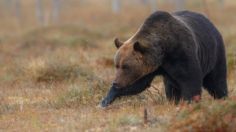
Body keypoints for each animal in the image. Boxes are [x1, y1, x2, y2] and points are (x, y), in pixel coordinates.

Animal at [100, 10, 228, 107]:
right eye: (117, 65)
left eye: (126, 66)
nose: (116, 82)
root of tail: (209, 21)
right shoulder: (150, 67)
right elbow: (138, 84)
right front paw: (105, 100)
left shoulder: (180, 53)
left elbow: (191, 79)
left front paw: (189, 101)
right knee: (170, 87)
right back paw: (173, 100)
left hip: (214, 52)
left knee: (217, 80)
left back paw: (223, 97)